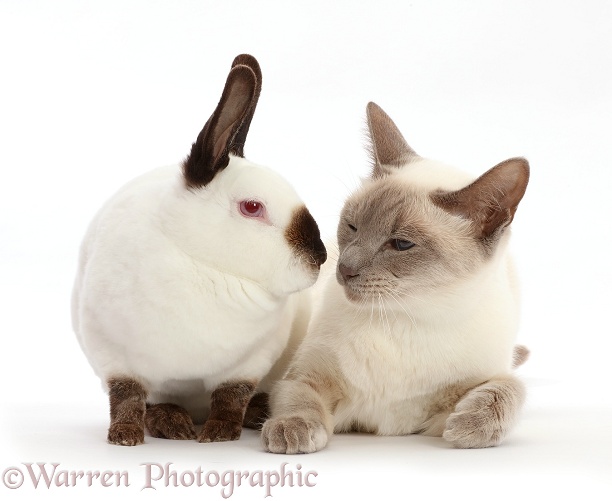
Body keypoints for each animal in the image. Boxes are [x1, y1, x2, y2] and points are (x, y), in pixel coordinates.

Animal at [71, 54, 328, 446]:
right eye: (252, 207)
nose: (320, 258)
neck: (201, 260)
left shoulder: (250, 362)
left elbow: (230, 396)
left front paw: (220, 432)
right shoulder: (113, 356)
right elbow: (126, 396)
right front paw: (124, 436)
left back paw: (255, 413)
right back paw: (170, 422)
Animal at [260, 100, 528, 450]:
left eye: (401, 244)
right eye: (352, 226)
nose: (344, 268)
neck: (404, 317)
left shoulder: (474, 384)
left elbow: (510, 389)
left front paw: (470, 425)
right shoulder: (304, 377)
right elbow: (298, 399)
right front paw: (291, 430)